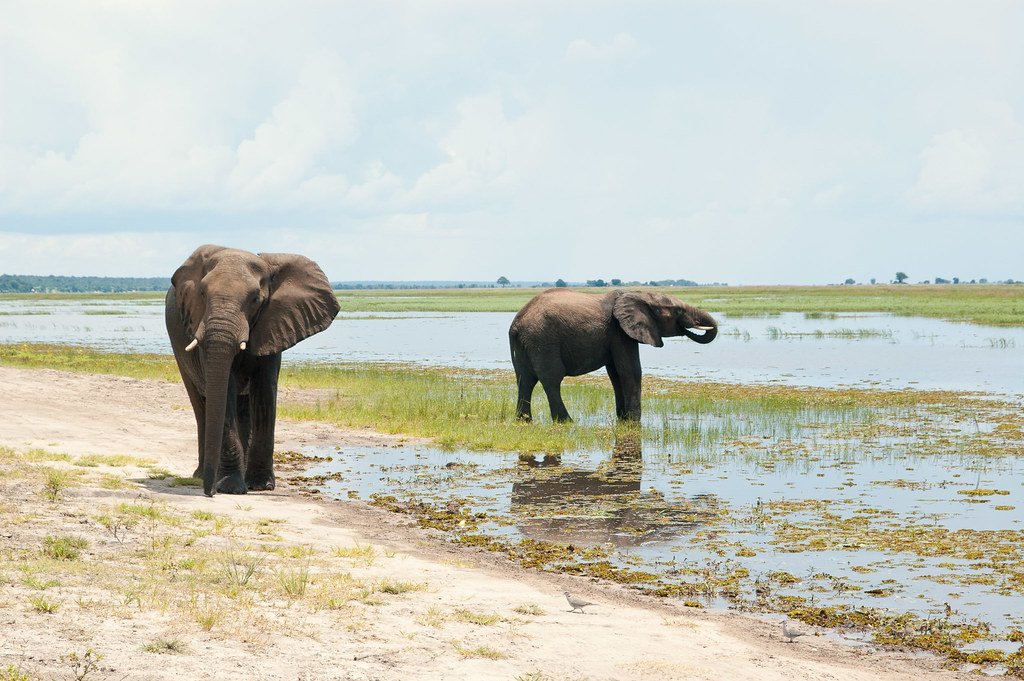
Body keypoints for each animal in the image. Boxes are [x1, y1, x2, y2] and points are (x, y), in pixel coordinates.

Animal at [163, 244, 339, 493]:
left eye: (256, 299)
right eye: (202, 294)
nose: (210, 493)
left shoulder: (275, 324)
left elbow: (264, 392)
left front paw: (260, 485)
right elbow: (224, 390)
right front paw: (230, 487)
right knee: (201, 405)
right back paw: (202, 475)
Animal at [507, 288, 716, 426]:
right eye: (678, 311)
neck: (638, 294)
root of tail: (516, 324)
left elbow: (616, 374)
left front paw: (623, 418)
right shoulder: (620, 332)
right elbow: (630, 370)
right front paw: (634, 422)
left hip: (528, 344)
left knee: (525, 381)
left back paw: (524, 421)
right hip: (543, 341)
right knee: (552, 380)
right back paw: (567, 422)